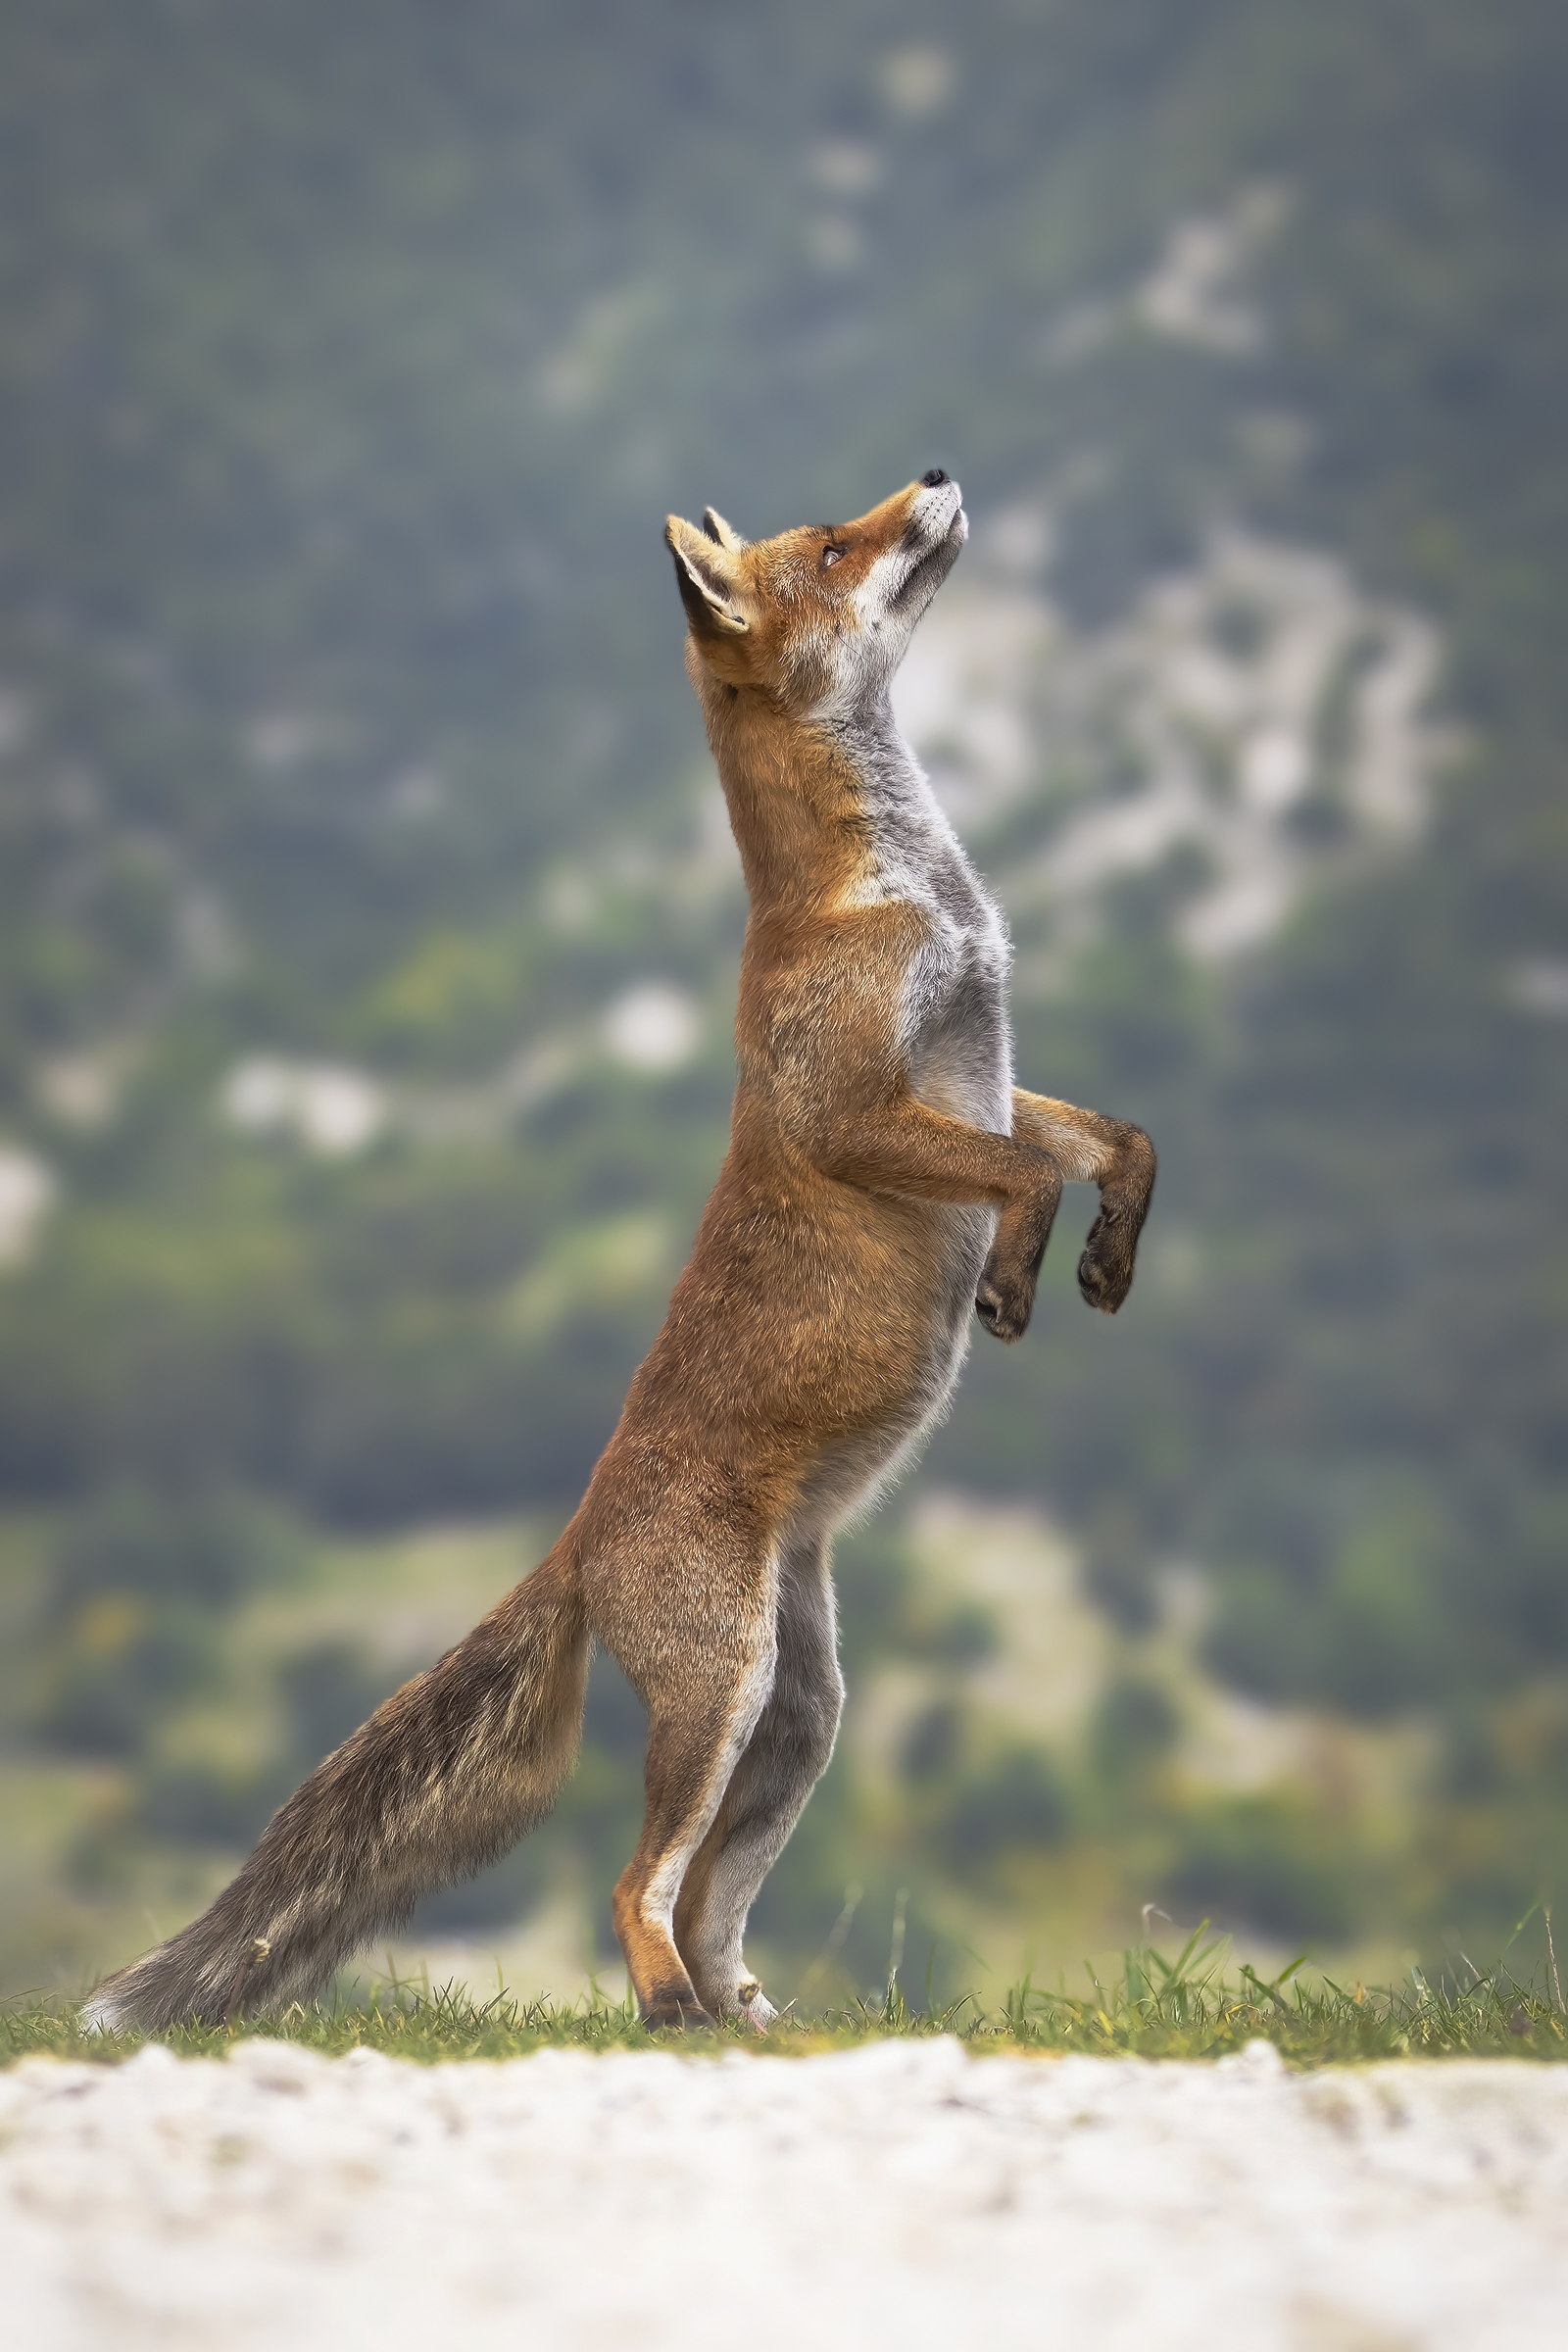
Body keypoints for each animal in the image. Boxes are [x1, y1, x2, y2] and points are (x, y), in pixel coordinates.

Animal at [84, 471, 1155, 2034]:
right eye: (833, 543)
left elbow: (1116, 1143)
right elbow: (1024, 1175)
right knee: (633, 1883)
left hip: (796, 1716)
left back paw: (746, 2018)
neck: (901, 894)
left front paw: (1106, 1265)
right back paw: (669, 2015)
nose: (939, 473)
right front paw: (1014, 1283)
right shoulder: (855, 1109)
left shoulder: (977, 1080)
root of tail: (581, 1534)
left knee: (708, 1899)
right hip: (722, 1693)